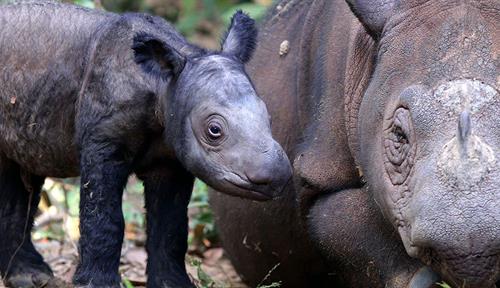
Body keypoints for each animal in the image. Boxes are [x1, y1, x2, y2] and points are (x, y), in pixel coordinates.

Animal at [0, 1, 292, 286]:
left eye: (268, 117)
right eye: (214, 130)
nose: (276, 176)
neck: (164, 86)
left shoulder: (172, 158)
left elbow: (170, 226)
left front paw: (172, 284)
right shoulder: (103, 143)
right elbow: (104, 219)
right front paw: (96, 283)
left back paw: (28, 276)